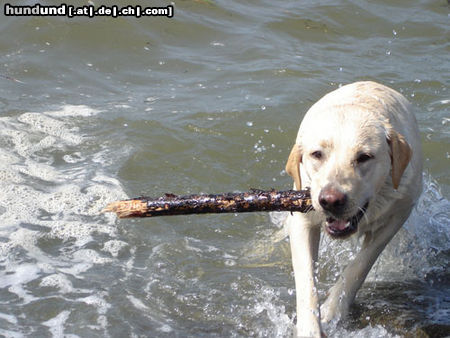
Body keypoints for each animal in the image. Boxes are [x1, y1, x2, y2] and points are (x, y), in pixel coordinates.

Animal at [284, 80, 422, 336]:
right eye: (317, 154)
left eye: (364, 157)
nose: (331, 200)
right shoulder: (302, 219)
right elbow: (306, 280)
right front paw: (310, 328)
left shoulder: (400, 211)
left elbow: (360, 265)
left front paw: (333, 309)